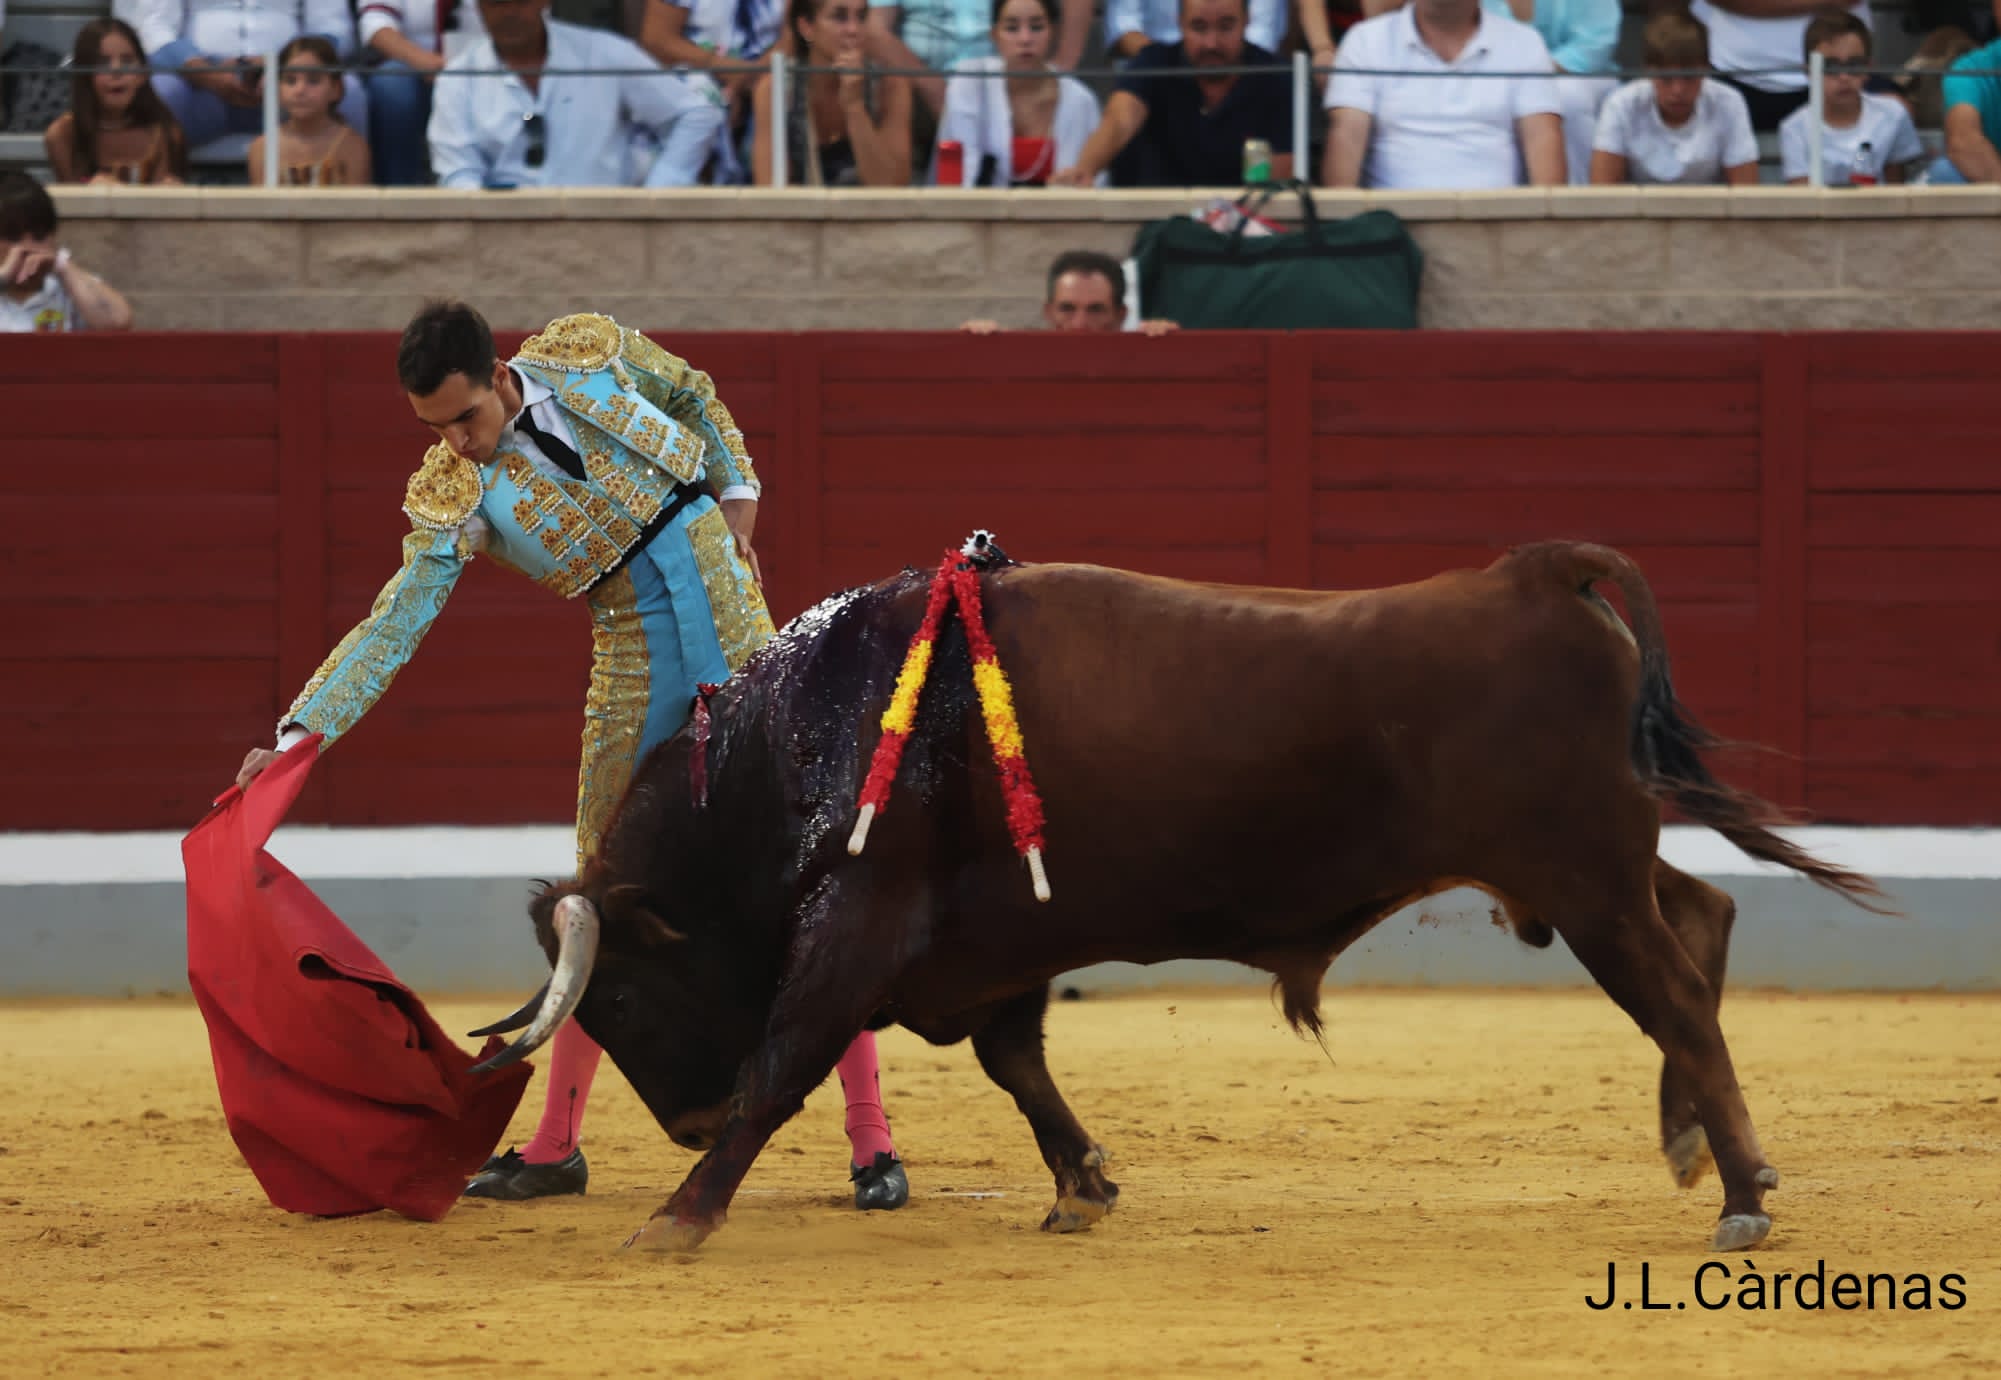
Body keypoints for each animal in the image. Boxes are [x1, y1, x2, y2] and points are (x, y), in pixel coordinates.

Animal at [467, 540, 1884, 1255]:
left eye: (624, 998)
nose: (688, 1125)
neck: (822, 722)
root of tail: (1530, 575)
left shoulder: (863, 921)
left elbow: (788, 1056)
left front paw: (677, 1218)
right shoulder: (993, 942)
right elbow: (1016, 1064)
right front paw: (1081, 1185)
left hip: (1579, 873)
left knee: (1676, 993)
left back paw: (1746, 1194)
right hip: (1588, 866)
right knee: (1700, 922)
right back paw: (1698, 1147)